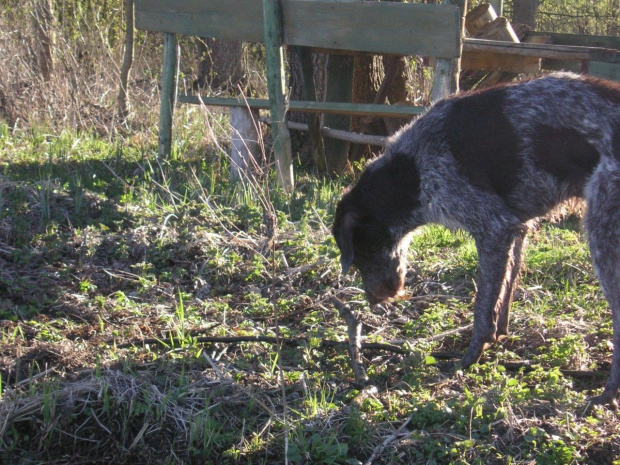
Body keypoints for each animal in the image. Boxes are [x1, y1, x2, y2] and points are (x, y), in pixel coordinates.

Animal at [332, 73, 620, 406]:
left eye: (360, 254)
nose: (373, 299)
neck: (410, 173)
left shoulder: (493, 227)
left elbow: (483, 309)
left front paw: (470, 358)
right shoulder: (516, 227)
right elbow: (504, 292)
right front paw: (500, 337)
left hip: (602, 234)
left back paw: (609, 392)